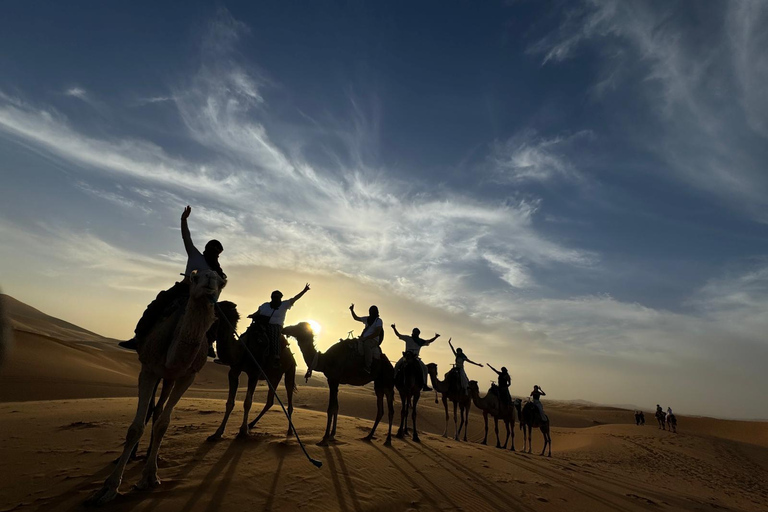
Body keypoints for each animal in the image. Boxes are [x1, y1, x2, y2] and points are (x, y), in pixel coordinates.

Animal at [88, 268, 225, 504]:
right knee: (150, 409)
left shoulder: (186, 376)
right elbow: (135, 427)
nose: (209, 281)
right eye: (195, 277)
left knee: (158, 409)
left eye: (221, 281)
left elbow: (163, 423)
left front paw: (150, 476)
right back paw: (130, 456)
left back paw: (153, 455)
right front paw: (109, 487)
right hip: (154, 370)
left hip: (168, 378)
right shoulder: (149, 370)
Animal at [207, 302, 296, 442]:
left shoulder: (254, 373)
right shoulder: (234, 371)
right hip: (273, 376)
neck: (243, 350)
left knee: (289, 397)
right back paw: (252, 424)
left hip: (290, 370)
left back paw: (290, 431)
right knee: (270, 401)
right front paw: (217, 433)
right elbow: (230, 402)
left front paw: (243, 431)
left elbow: (247, 402)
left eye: (217, 310)